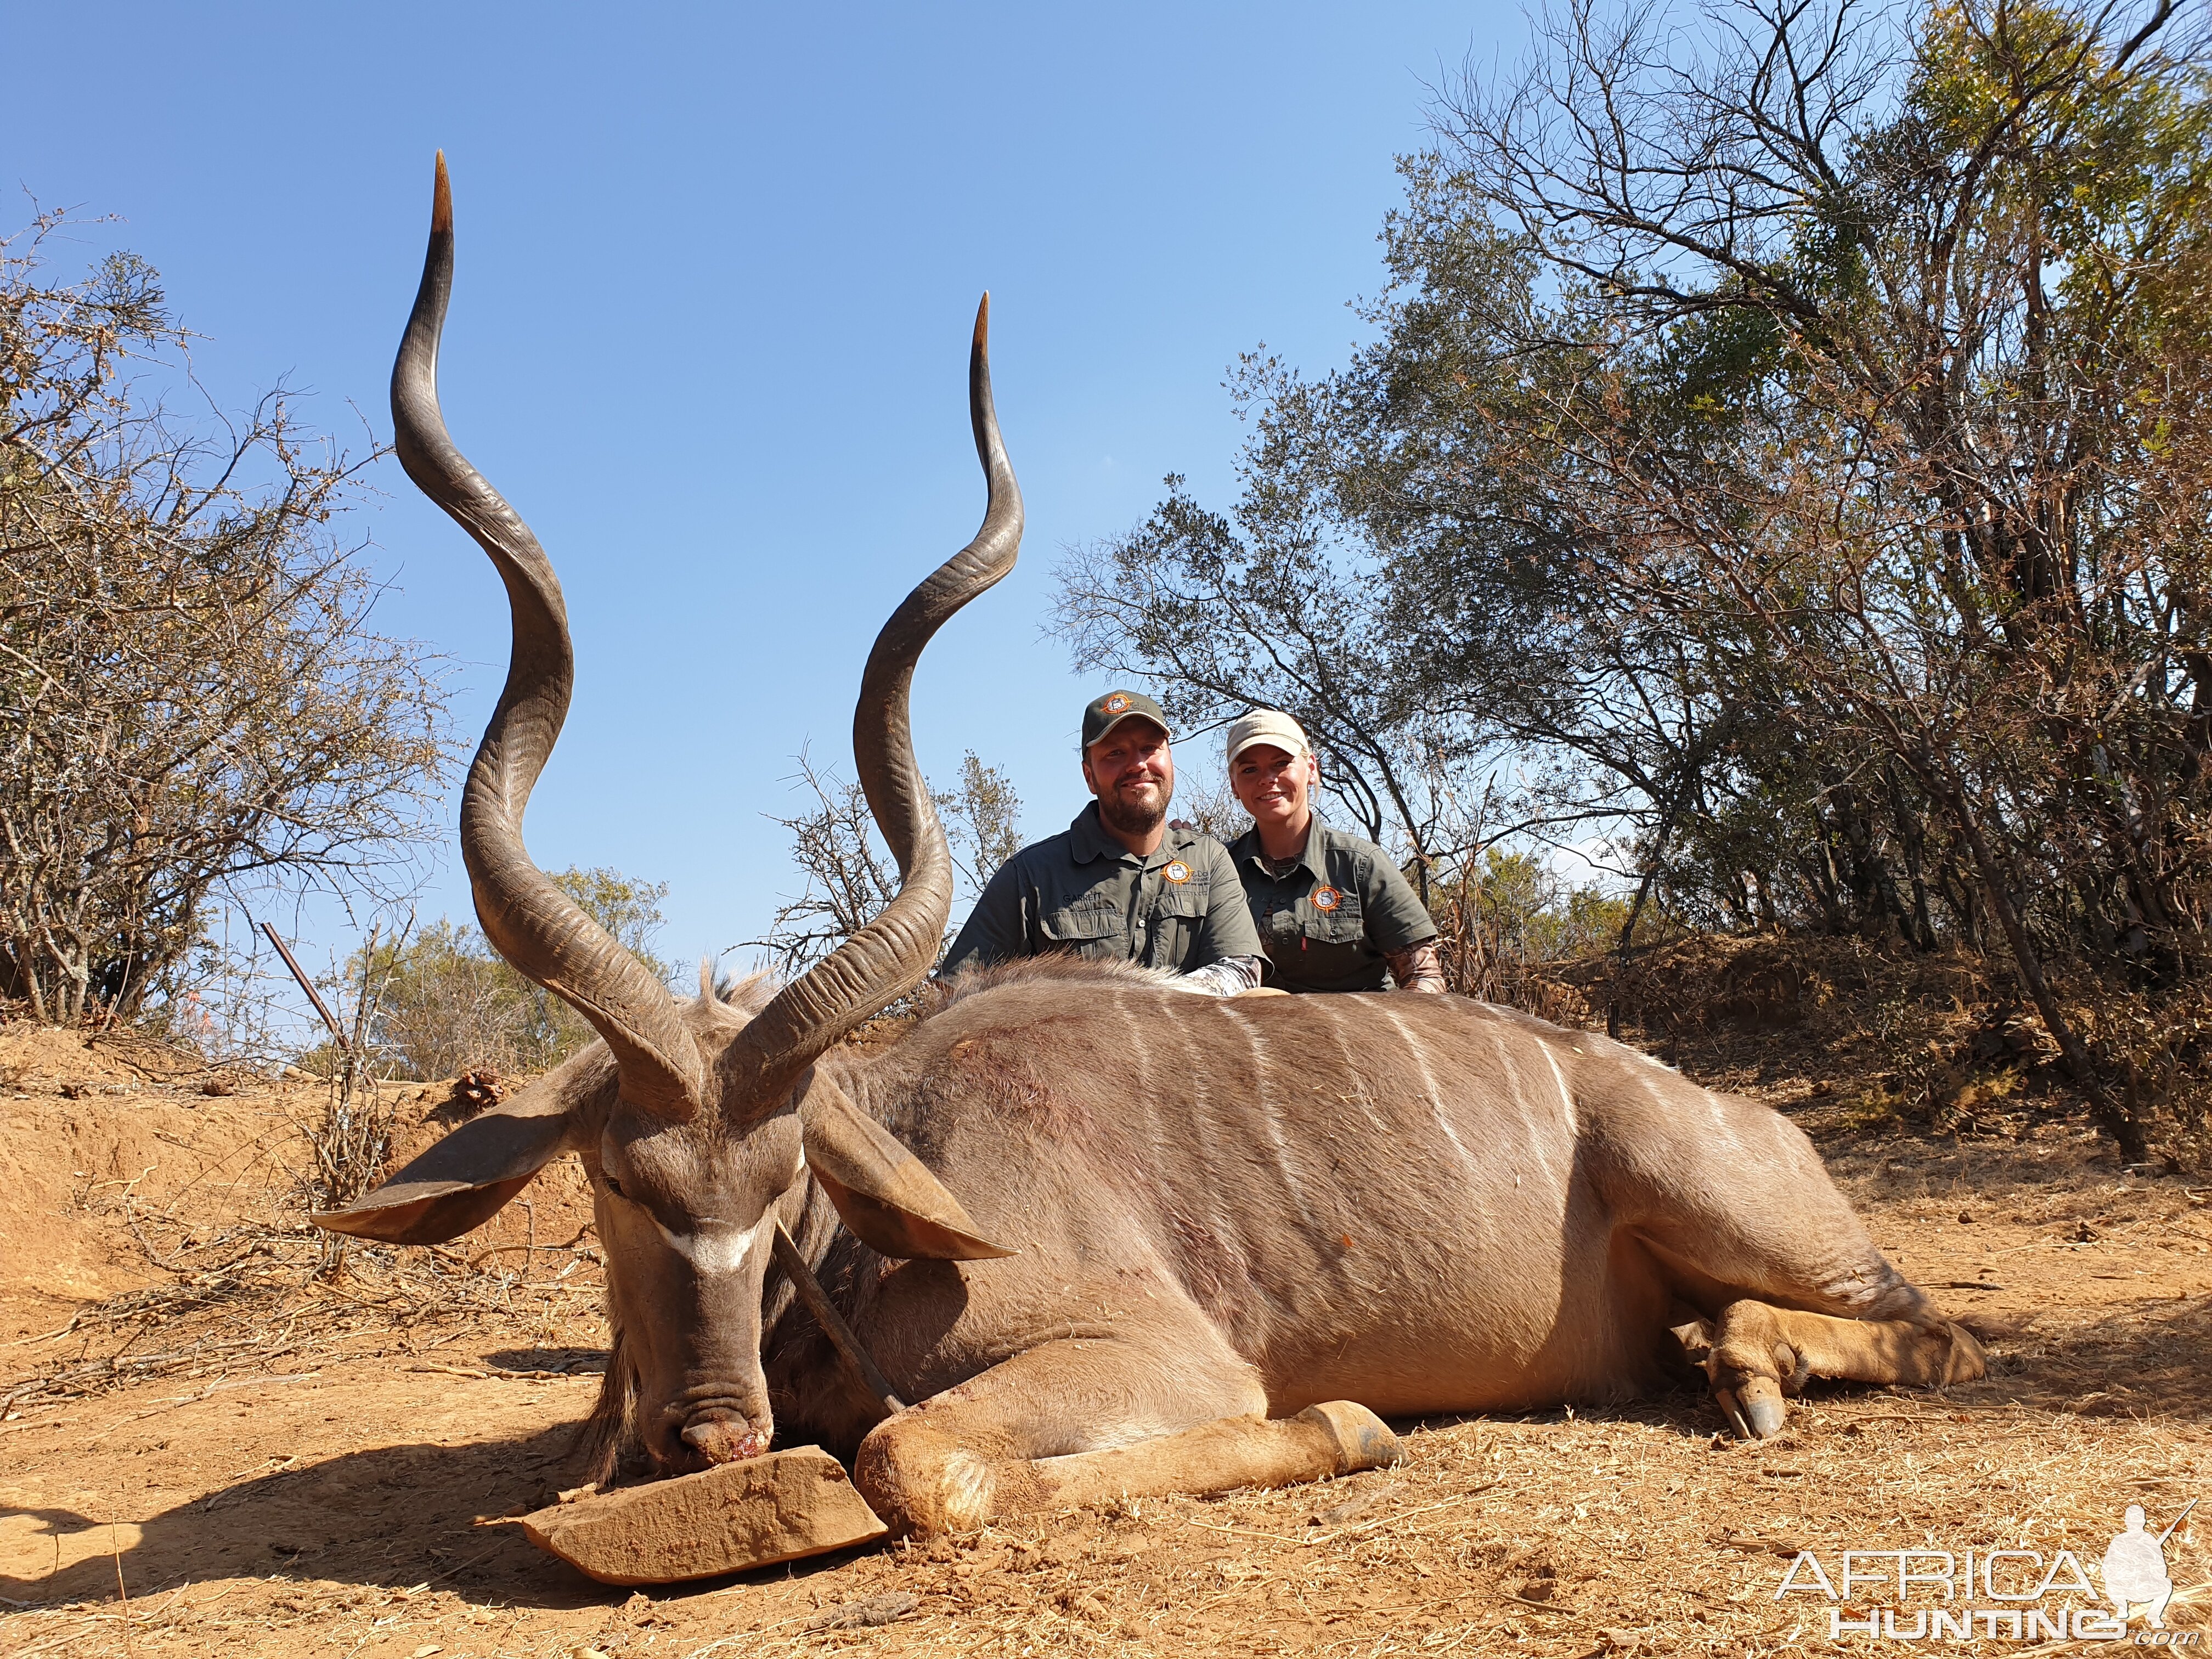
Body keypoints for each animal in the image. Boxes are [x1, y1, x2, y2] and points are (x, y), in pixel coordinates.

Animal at [323, 162, 1990, 1539]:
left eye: (787, 1172)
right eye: (613, 1178)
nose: (714, 1439)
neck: (882, 1204)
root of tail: (1737, 1110)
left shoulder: (1158, 1356)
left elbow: (915, 1460)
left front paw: (1350, 1425)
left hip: (1735, 1206)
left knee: (1945, 1327)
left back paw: (1750, 1363)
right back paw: (1716, 1350)